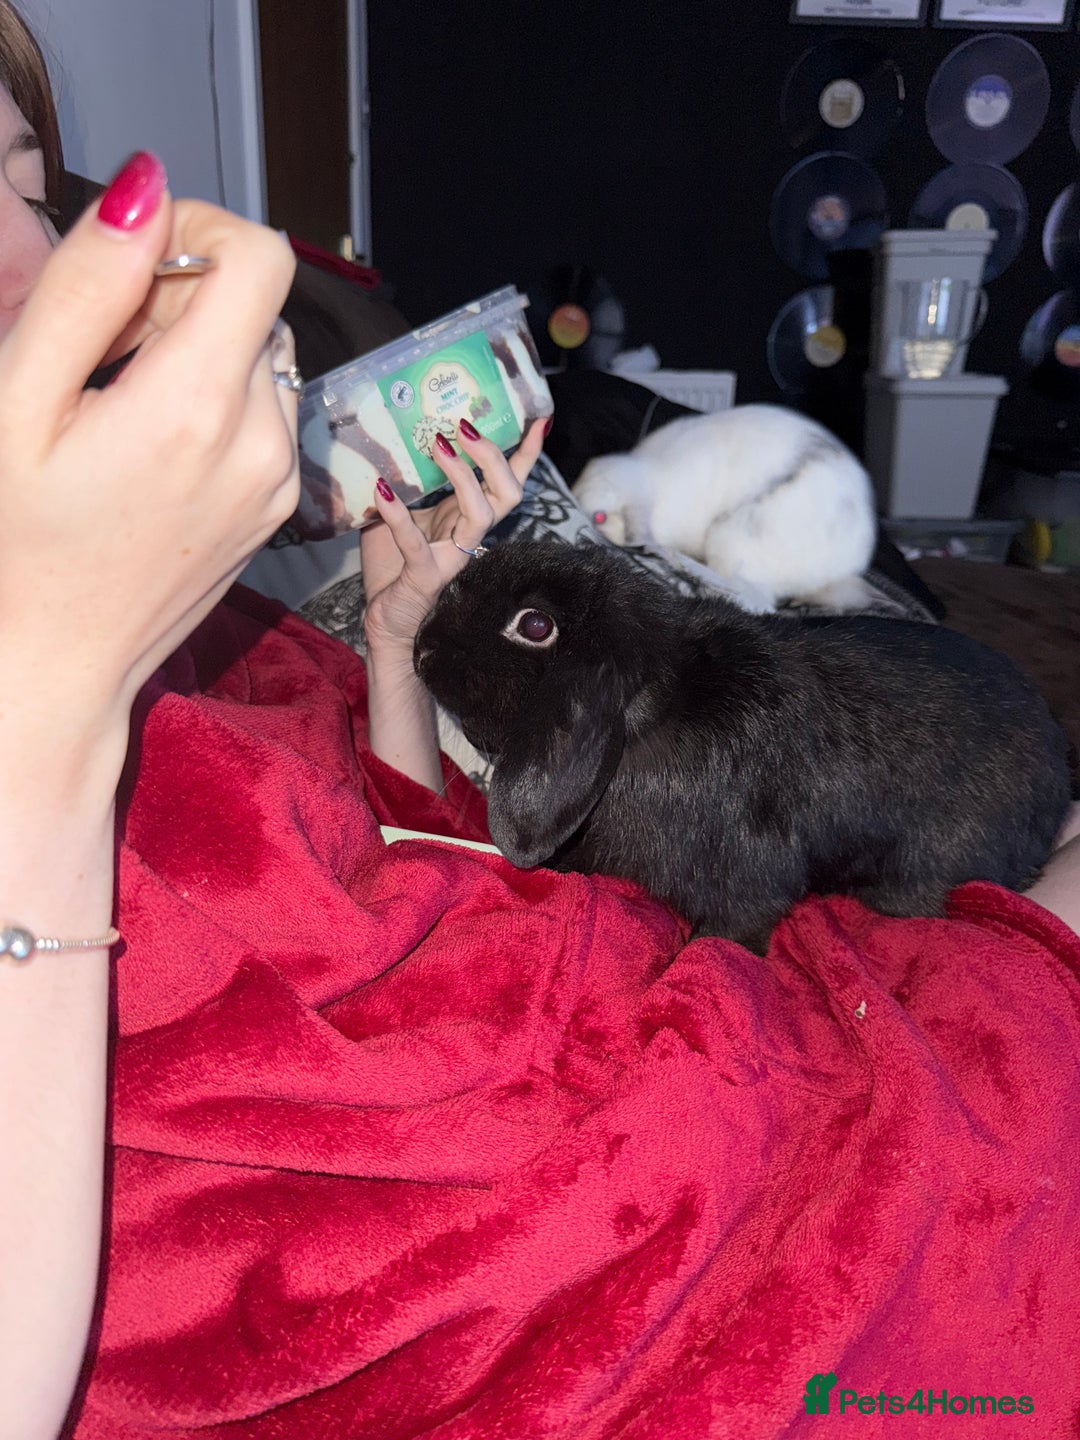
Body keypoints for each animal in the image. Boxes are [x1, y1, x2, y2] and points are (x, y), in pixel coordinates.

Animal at [414, 540, 1072, 955]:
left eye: (535, 625)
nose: (422, 649)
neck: (654, 710)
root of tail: (1057, 776)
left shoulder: (751, 881)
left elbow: (733, 930)